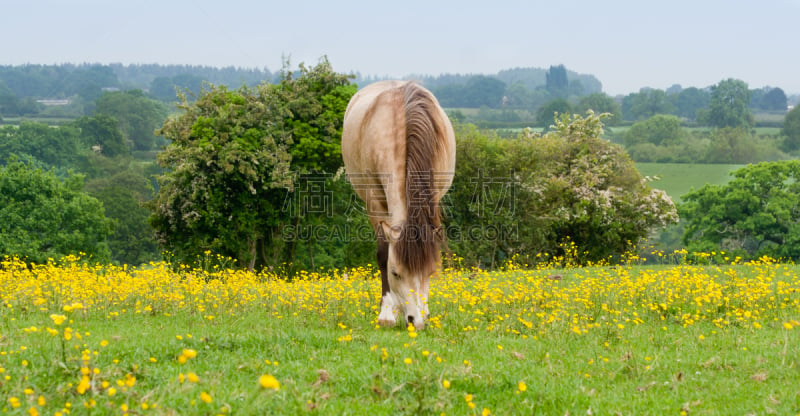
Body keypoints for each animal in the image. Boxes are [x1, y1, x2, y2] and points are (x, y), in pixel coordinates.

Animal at [340, 80, 456, 328]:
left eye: (430, 272)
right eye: (395, 274)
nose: (416, 321)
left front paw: (425, 309)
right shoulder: (375, 203)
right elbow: (383, 254)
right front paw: (386, 313)